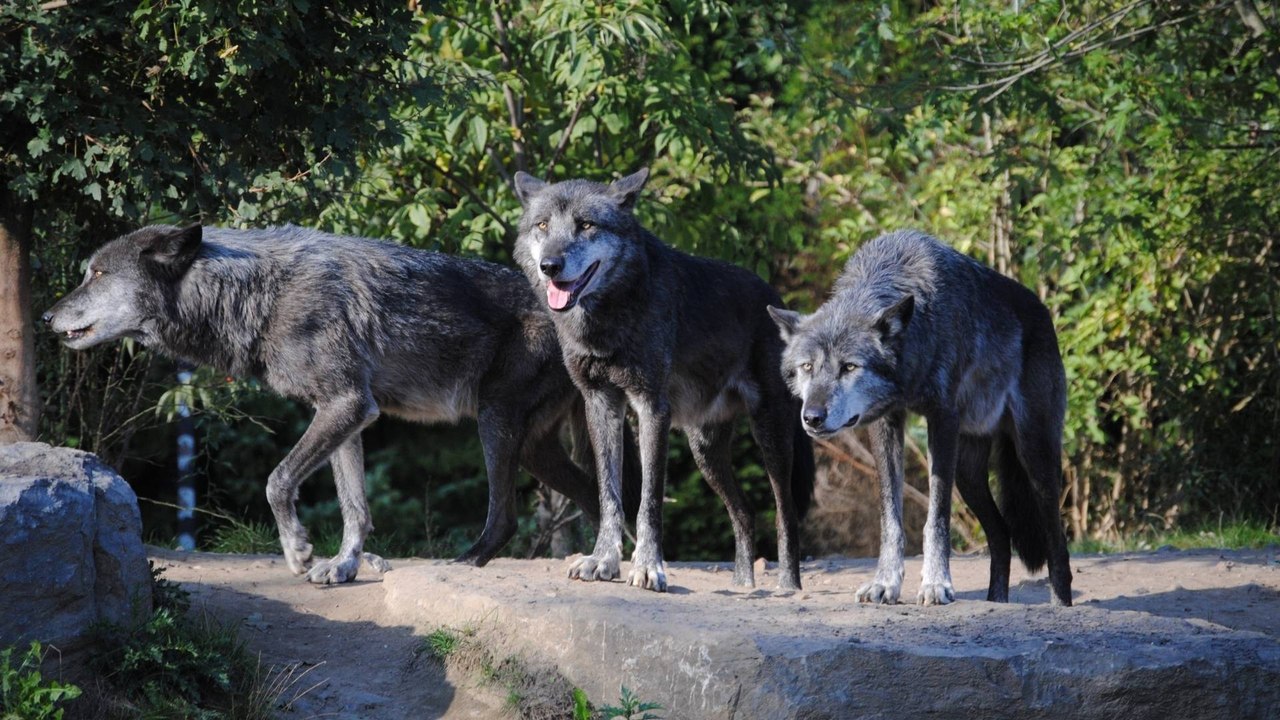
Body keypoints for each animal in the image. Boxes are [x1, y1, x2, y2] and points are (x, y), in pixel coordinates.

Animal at [42, 224, 605, 583]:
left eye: (97, 274)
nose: (46, 317)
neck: (257, 293)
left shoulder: (346, 404)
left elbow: (277, 481)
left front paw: (298, 551)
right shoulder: (347, 415)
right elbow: (355, 508)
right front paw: (344, 566)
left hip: (494, 423)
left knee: (507, 516)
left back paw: (469, 563)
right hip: (532, 448)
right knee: (594, 494)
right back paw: (602, 564)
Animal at [511, 167, 815, 592]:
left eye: (586, 225)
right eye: (542, 225)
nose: (550, 266)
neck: (609, 318)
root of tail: (777, 300)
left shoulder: (651, 407)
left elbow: (649, 500)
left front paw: (647, 567)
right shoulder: (601, 405)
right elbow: (609, 495)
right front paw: (602, 561)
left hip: (771, 436)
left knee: (783, 513)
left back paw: (788, 586)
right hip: (705, 451)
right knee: (745, 512)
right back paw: (743, 586)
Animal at [768, 229, 1073, 606]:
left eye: (849, 367)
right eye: (808, 367)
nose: (812, 417)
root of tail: (1044, 312)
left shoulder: (942, 419)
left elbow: (936, 517)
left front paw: (936, 584)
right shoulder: (885, 423)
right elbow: (890, 518)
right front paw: (884, 584)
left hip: (1034, 456)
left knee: (1057, 544)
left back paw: (1060, 605)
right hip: (969, 475)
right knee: (1001, 535)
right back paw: (995, 601)